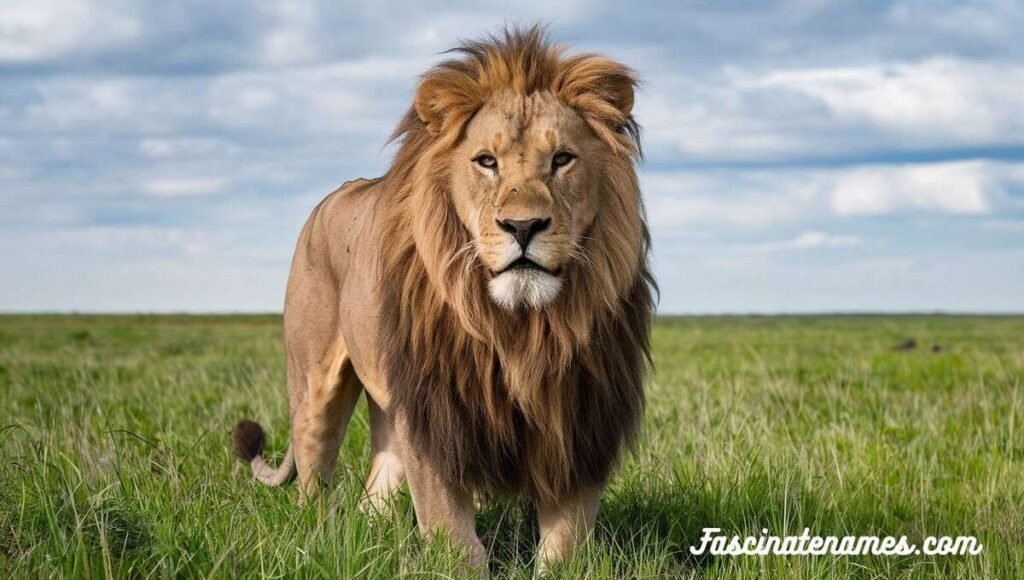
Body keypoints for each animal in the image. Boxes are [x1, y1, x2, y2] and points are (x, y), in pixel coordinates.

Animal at [232, 25, 655, 569]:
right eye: (486, 162)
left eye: (562, 159)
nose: (523, 227)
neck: (522, 327)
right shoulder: (434, 421)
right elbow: (455, 543)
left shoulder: (581, 425)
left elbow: (564, 547)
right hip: (314, 386)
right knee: (312, 479)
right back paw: (319, 539)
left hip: (391, 411)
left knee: (375, 491)